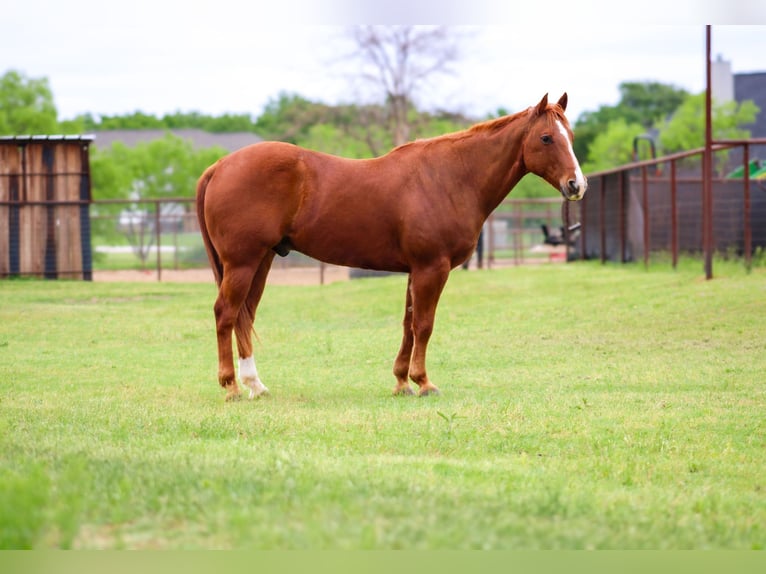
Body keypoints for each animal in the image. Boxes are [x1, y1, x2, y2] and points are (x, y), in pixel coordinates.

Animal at [196, 93, 588, 400]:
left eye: (570, 135)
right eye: (547, 138)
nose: (577, 185)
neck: (450, 177)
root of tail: (220, 166)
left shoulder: (417, 270)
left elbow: (408, 323)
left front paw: (402, 382)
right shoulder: (433, 268)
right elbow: (424, 324)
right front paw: (424, 382)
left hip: (260, 261)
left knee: (245, 316)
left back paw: (255, 384)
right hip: (243, 262)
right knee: (225, 314)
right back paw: (231, 386)